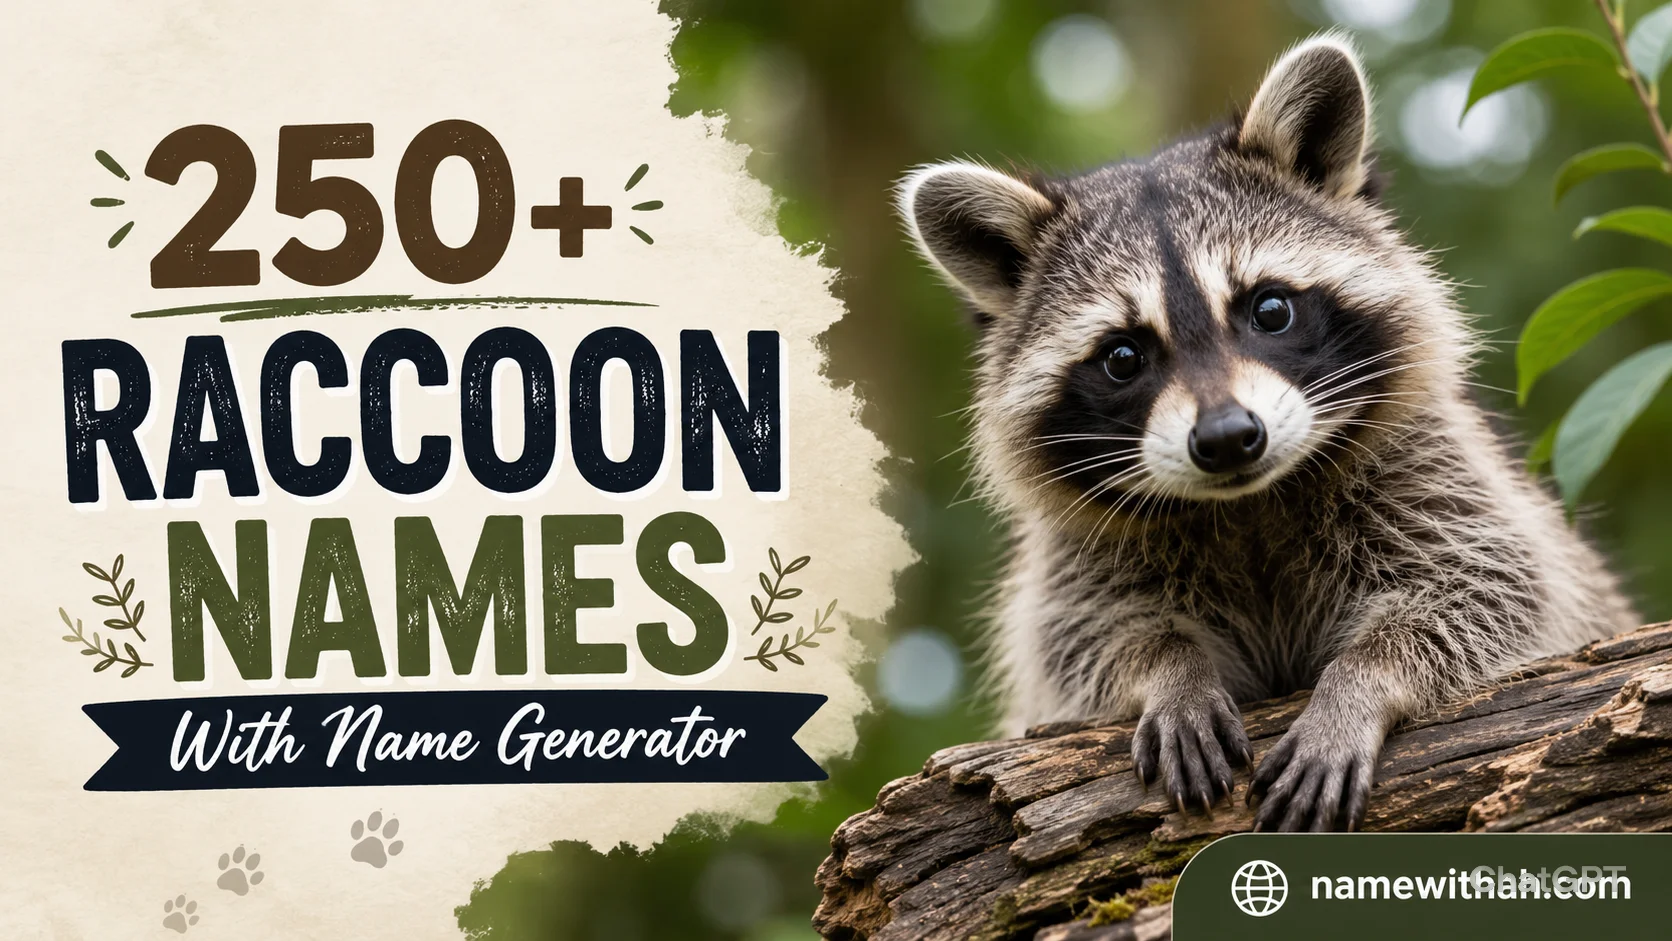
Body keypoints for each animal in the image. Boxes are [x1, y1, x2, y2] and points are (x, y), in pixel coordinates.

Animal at [897, 34, 1636, 831]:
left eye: (1270, 310)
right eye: (1123, 357)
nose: (1225, 437)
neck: (1247, 503)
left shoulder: (1437, 473)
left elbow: (1489, 586)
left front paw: (1359, 684)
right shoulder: (1080, 560)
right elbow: (1089, 640)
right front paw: (1171, 669)